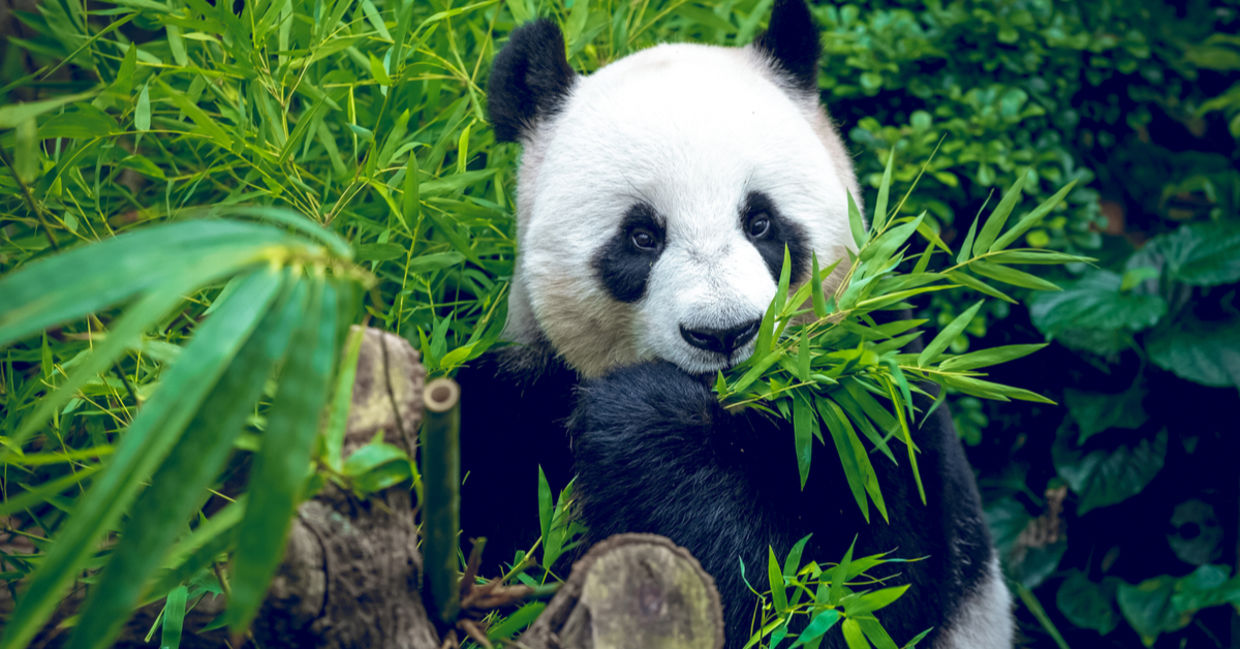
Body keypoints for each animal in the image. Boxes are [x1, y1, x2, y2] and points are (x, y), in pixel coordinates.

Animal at [454, 1, 1013, 647]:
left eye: (761, 221)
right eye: (641, 236)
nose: (724, 333)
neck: (737, 408)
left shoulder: (875, 416)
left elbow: (838, 596)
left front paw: (642, 418)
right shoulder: (514, 408)